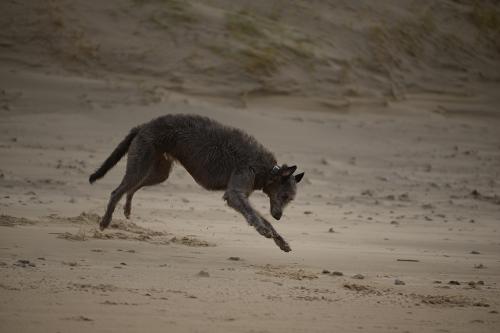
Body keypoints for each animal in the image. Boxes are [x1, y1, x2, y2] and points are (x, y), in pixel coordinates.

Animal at [88, 113, 302, 250]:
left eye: (290, 199)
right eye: (284, 195)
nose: (279, 216)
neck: (265, 169)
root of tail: (143, 126)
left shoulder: (242, 194)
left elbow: (262, 218)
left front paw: (280, 240)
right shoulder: (235, 193)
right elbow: (252, 214)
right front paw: (262, 229)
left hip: (157, 171)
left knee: (132, 188)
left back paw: (127, 208)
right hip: (141, 163)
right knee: (117, 191)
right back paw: (105, 221)